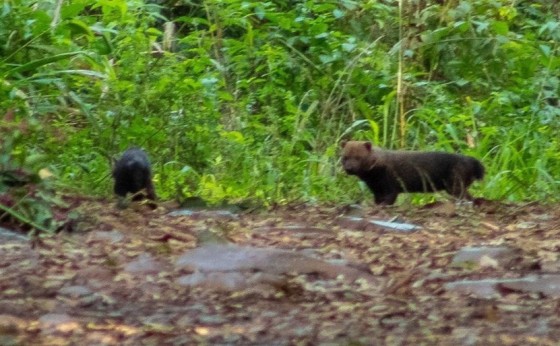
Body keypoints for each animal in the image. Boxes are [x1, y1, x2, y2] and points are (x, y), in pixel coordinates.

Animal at [342, 141, 486, 205]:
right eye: (345, 157)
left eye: (358, 157)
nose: (349, 168)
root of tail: (472, 161)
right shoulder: (376, 189)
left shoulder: (390, 184)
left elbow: (389, 198)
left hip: (455, 184)